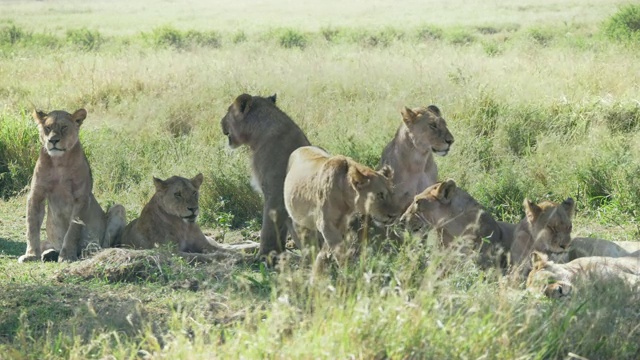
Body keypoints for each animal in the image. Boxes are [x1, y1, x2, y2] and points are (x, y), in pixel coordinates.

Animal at [20, 108, 126, 262]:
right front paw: (31, 254)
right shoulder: (36, 195)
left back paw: (90, 251)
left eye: (64, 127)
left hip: (118, 209)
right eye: (48, 128)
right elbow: (31, 226)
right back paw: (49, 254)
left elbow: (73, 230)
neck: (59, 162)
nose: (53, 140)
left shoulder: (81, 198)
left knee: (104, 244)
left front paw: (67, 255)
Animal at [117, 174, 258, 258]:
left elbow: (225, 250)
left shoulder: (205, 244)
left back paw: (253, 244)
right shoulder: (171, 251)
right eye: (177, 194)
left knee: (229, 245)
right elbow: (201, 255)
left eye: (194, 192)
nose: (193, 209)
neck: (183, 226)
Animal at [220, 92, 310, 256]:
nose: (220, 121)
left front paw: (264, 254)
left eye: (228, 111)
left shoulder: (275, 192)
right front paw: (279, 252)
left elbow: (268, 227)